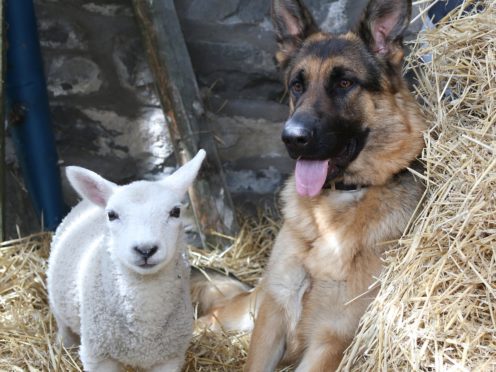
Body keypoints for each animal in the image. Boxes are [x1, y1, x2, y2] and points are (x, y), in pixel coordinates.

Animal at [47, 150, 206, 370]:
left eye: (175, 212)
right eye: (112, 215)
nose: (145, 249)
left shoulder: (169, 357)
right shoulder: (98, 356)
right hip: (56, 295)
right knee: (63, 324)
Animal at [192, 0, 424, 370]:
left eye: (345, 82)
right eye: (297, 86)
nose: (292, 138)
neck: (329, 213)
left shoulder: (330, 340)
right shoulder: (271, 319)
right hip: (244, 311)